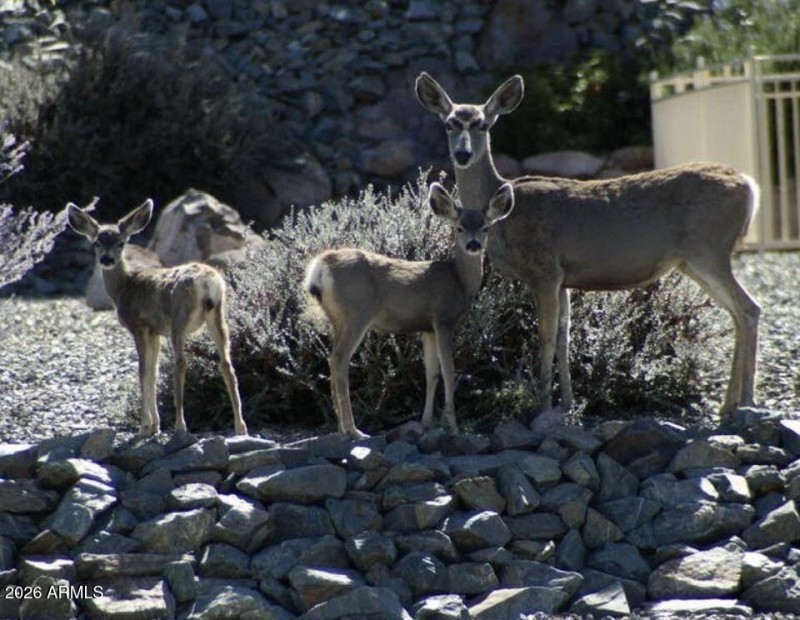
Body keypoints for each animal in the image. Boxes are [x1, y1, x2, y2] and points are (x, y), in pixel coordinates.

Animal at [66, 199, 248, 436]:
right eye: (97, 242)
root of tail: (209, 283)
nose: (107, 259)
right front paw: (155, 426)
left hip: (179, 319)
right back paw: (241, 427)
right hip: (218, 315)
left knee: (181, 363)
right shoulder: (155, 332)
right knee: (226, 363)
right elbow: (153, 371)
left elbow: (143, 370)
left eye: (121, 243)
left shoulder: (139, 326)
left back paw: (181, 426)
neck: (124, 286)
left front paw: (145, 427)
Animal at [303, 182, 515, 439]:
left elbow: (432, 372)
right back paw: (354, 430)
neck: (459, 281)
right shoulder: (443, 319)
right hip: (357, 312)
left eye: (485, 227)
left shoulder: (427, 327)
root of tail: (320, 266)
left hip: (336, 317)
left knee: (332, 359)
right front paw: (452, 426)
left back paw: (341, 428)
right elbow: (449, 370)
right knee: (340, 360)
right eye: (459, 228)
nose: (473, 244)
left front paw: (426, 422)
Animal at [415, 72, 761, 419]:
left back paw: (746, 401)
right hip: (692, 260)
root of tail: (748, 184)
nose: (462, 155)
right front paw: (568, 404)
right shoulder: (564, 279)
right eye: (449, 123)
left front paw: (542, 405)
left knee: (748, 308)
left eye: (483, 125)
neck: (503, 214)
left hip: (709, 249)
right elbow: (564, 336)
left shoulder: (545, 270)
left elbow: (545, 336)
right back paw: (727, 405)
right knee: (736, 312)